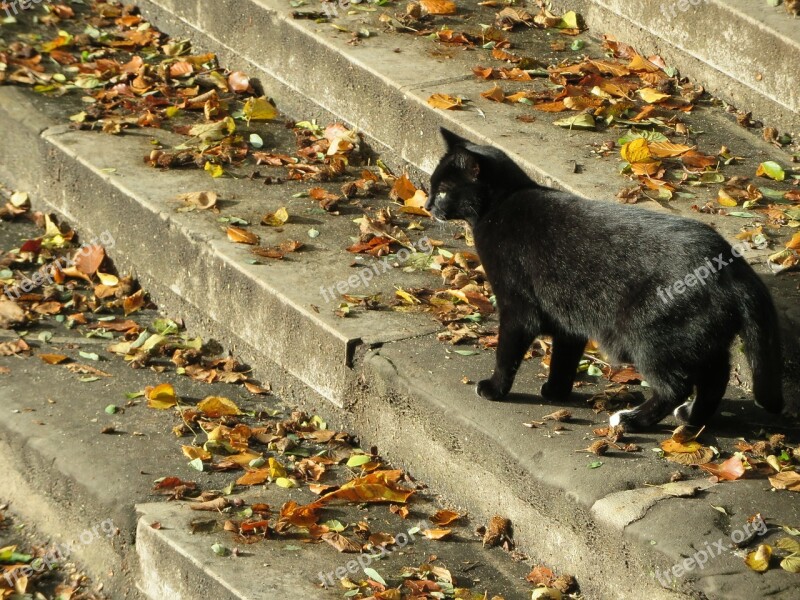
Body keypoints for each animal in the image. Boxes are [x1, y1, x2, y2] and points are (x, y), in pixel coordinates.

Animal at [428, 126, 784, 428]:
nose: (430, 204)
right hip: (703, 339)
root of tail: (732, 266)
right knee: (715, 378)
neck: (501, 204)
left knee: (676, 385)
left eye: (443, 191)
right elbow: (565, 357)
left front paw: (494, 389)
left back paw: (633, 420)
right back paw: (692, 418)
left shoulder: (519, 308)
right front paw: (556, 392)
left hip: (651, 337)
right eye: (432, 187)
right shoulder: (566, 315)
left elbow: (508, 353)